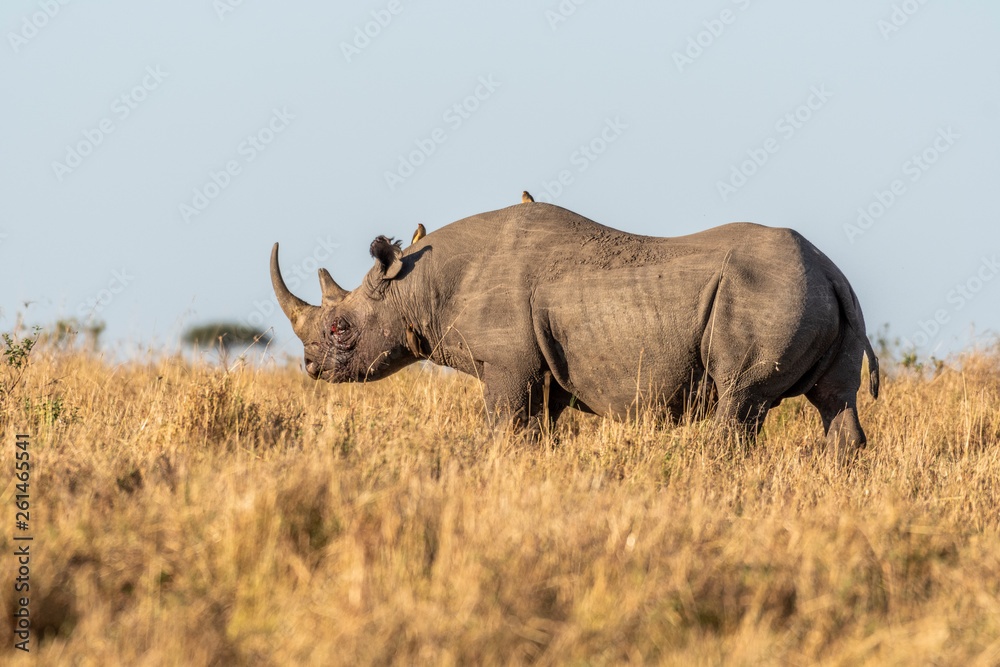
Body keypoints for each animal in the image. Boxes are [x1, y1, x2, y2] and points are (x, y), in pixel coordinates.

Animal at [271, 203, 879, 454]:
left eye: (341, 329)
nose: (311, 368)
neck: (416, 286)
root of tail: (831, 270)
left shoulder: (506, 363)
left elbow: (504, 427)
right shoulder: (544, 369)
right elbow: (536, 429)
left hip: (768, 291)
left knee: (740, 399)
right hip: (819, 292)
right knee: (836, 402)